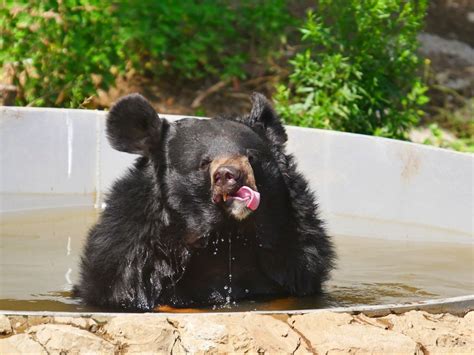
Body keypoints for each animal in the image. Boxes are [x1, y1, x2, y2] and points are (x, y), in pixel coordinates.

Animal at [73, 94, 334, 312]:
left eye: (251, 158)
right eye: (204, 162)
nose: (230, 175)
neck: (229, 234)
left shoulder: (294, 257)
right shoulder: (131, 263)